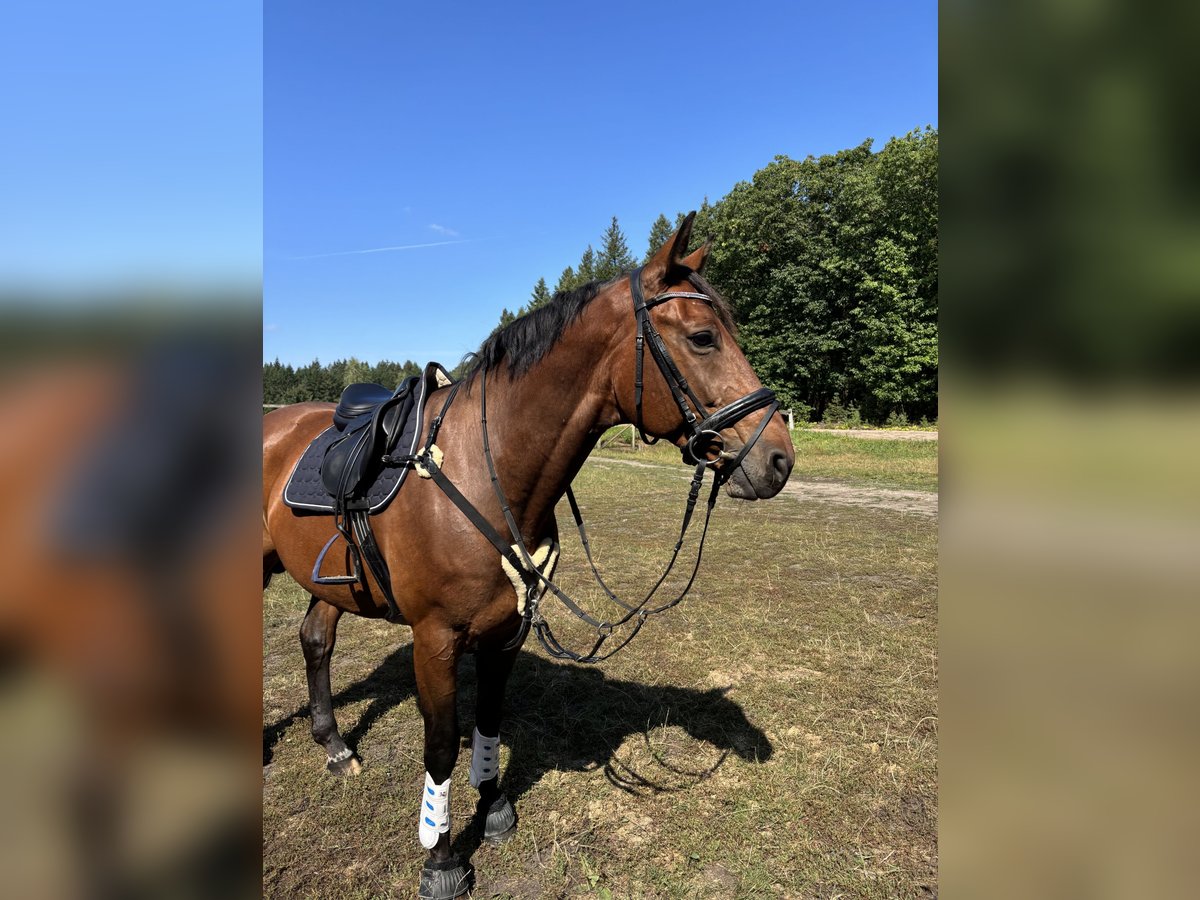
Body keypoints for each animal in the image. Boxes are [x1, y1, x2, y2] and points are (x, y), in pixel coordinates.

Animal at [258, 214, 792, 897]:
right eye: (702, 338)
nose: (777, 458)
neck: (485, 472)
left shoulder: (505, 630)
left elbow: (489, 719)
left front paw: (492, 807)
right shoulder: (436, 639)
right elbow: (440, 745)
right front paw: (441, 858)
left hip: (332, 582)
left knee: (315, 640)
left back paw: (333, 747)